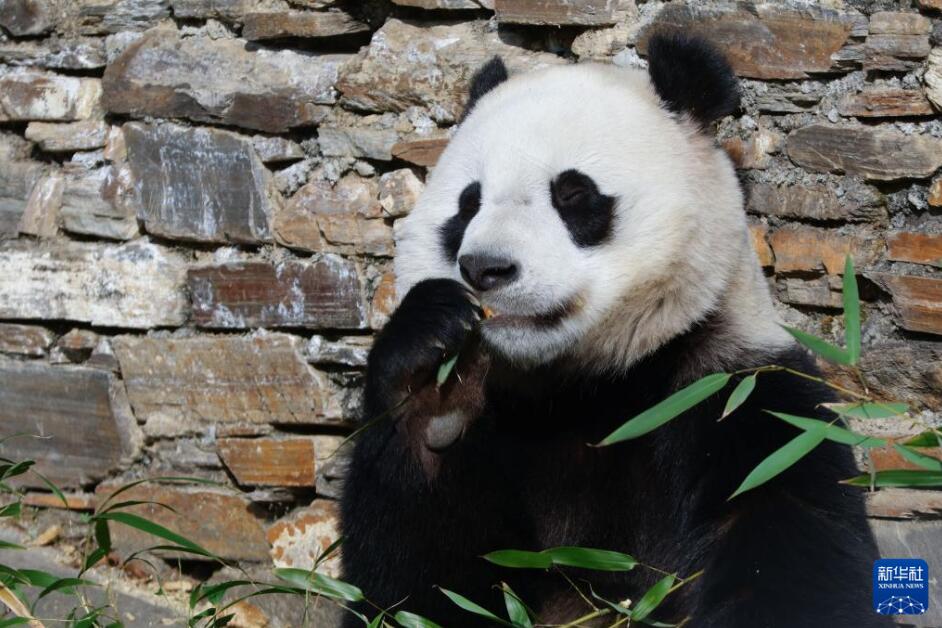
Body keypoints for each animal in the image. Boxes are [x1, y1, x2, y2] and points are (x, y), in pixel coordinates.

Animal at [342, 34, 892, 628]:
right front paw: (435, 384)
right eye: (468, 205)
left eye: (573, 194)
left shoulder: (738, 394)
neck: (583, 386)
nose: (486, 269)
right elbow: (417, 582)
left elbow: (787, 550)